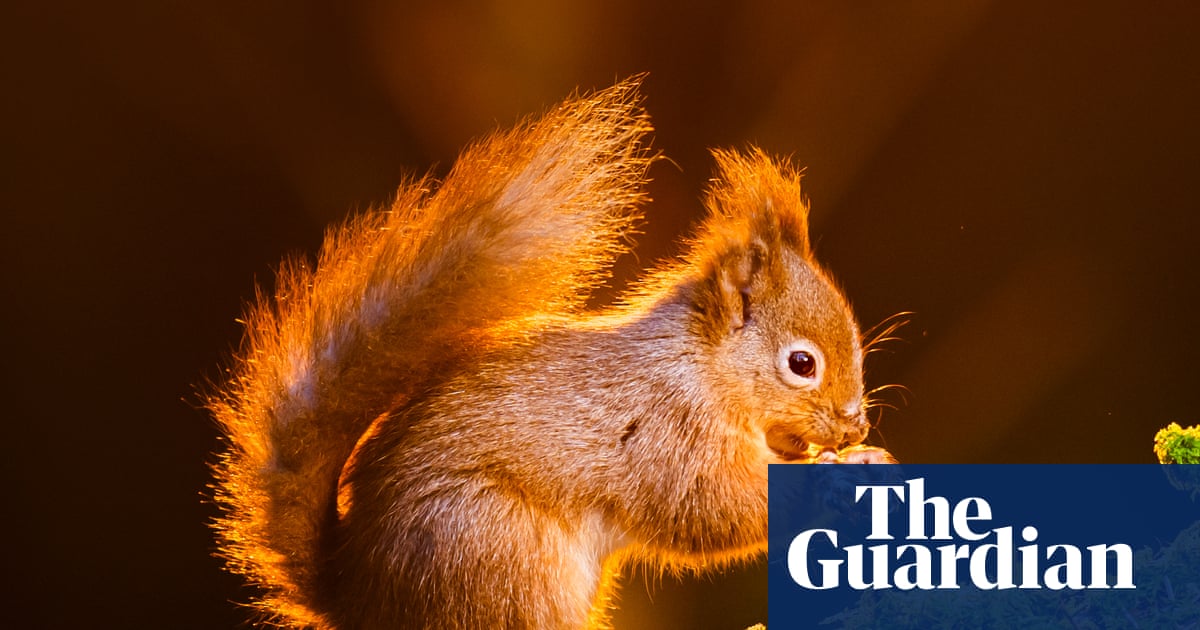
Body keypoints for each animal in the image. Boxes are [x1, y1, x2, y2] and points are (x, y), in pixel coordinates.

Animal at [207, 77, 895, 630]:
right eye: (802, 364)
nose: (855, 424)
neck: (702, 368)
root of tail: (360, 600)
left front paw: (855, 457)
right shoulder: (667, 436)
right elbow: (714, 510)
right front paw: (836, 473)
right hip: (501, 554)